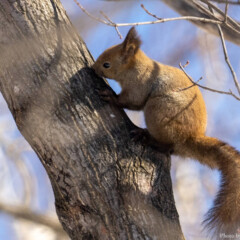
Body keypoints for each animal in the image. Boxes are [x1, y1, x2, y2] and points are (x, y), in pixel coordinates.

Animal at [92, 26, 240, 238]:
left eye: (106, 64)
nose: (93, 69)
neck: (136, 68)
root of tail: (189, 138)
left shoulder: (139, 85)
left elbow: (132, 101)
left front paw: (110, 96)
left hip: (157, 110)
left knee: (166, 145)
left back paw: (146, 136)